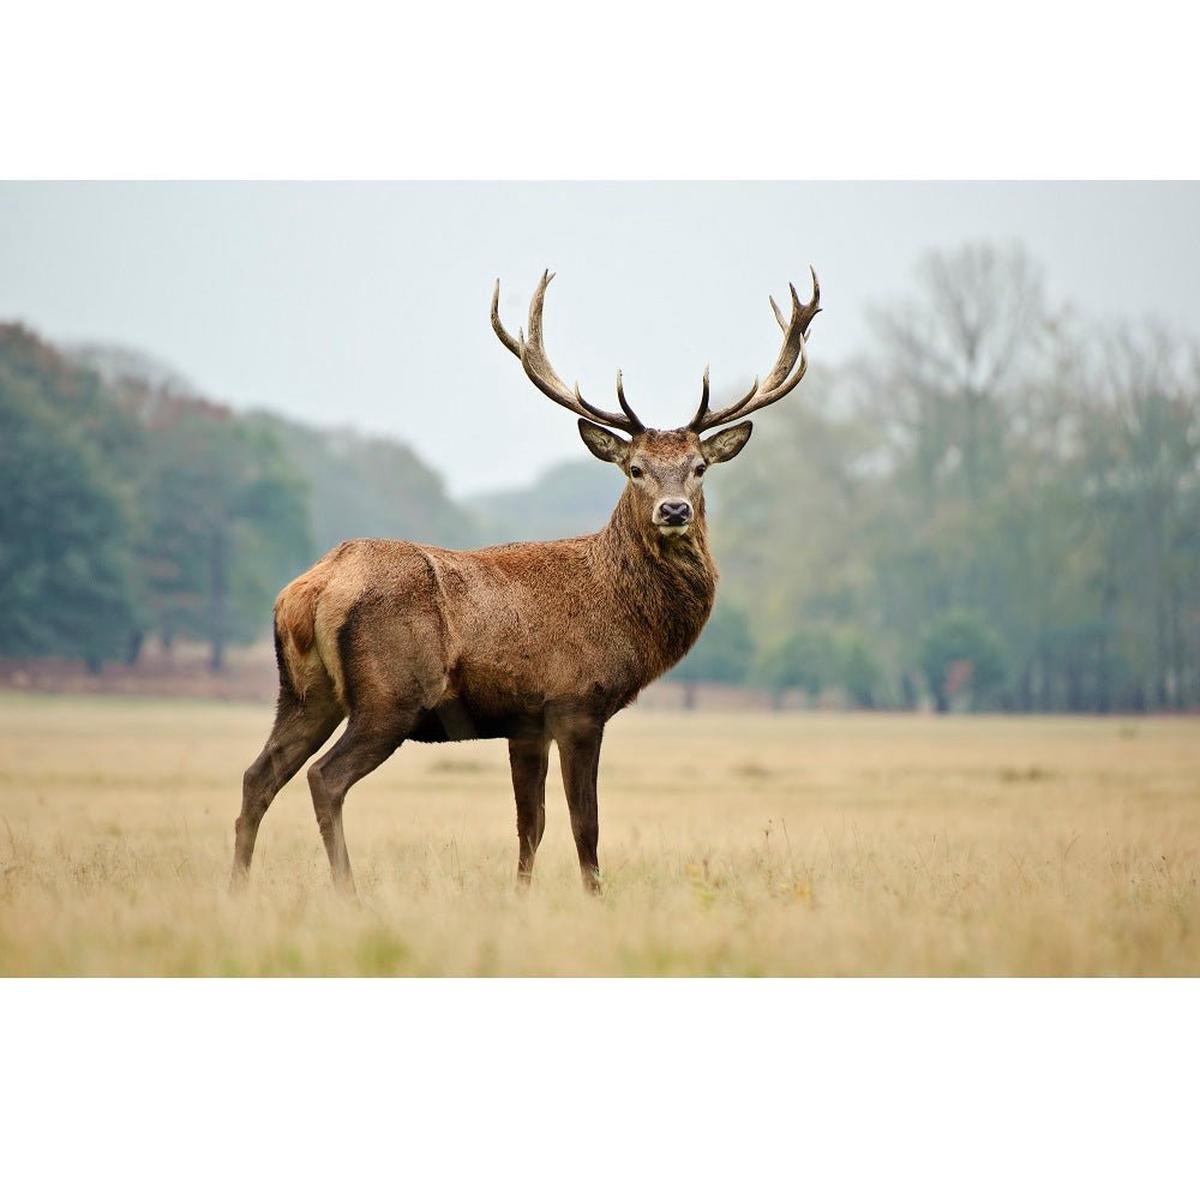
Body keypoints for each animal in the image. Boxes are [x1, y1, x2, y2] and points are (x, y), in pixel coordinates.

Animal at [230, 269, 820, 895]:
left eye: (700, 468)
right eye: (634, 469)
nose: (675, 510)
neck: (622, 613)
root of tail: (309, 589)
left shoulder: (525, 722)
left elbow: (529, 825)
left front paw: (520, 896)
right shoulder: (577, 702)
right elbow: (585, 823)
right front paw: (595, 897)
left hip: (304, 692)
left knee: (257, 776)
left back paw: (237, 887)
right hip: (390, 695)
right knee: (325, 778)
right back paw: (348, 892)